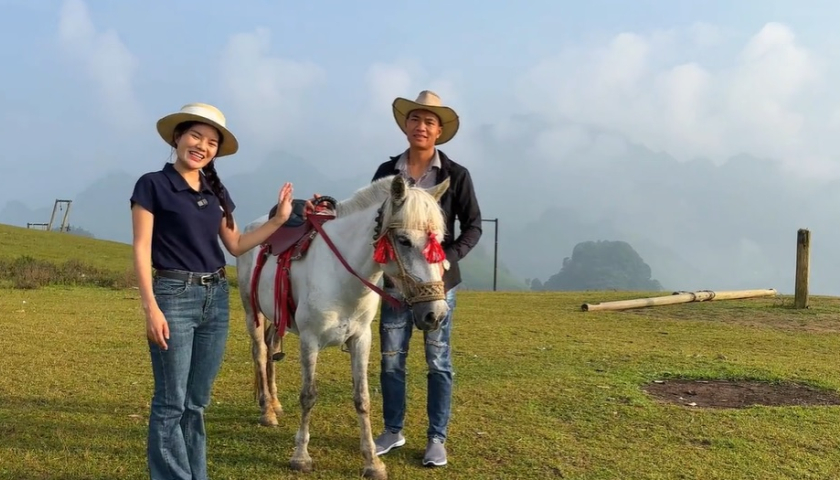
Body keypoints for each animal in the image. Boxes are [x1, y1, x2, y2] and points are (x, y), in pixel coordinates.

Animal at [233, 174, 452, 478]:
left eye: (439, 241)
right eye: (404, 240)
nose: (436, 314)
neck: (342, 277)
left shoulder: (361, 339)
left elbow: (363, 398)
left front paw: (372, 462)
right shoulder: (310, 340)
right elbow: (308, 395)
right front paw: (301, 457)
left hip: (278, 318)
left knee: (271, 349)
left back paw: (275, 404)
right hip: (251, 310)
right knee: (260, 352)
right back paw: (267, 410)